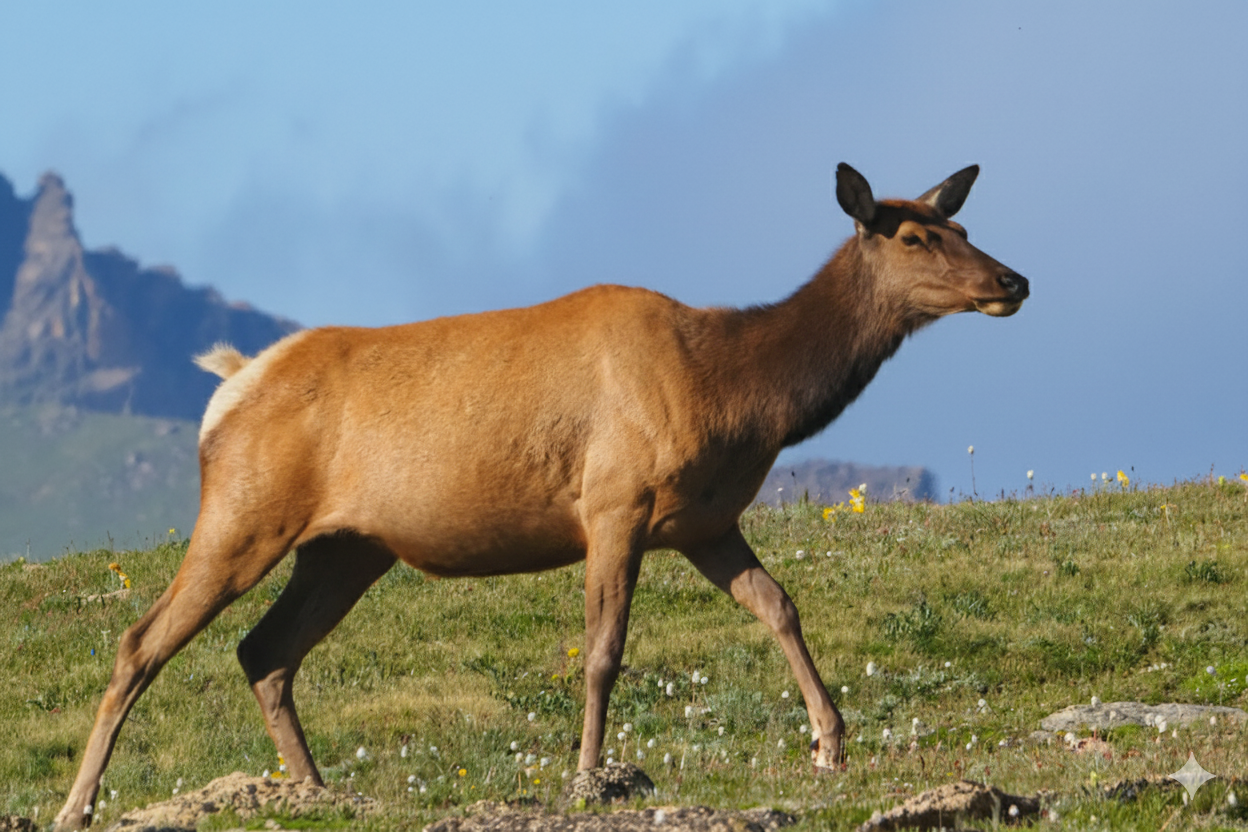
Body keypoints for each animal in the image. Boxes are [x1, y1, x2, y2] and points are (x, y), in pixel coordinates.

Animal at [54, 163, 1027, 830]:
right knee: (141, 641)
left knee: (264, 651)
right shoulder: (615, 501)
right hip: (245, 510)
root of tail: (228, 387)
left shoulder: (706, 520)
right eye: (914, 238)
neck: (737, 392)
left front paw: (830, 745)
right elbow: (602, 652)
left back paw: (318, 790)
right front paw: (590, 778)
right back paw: (80, 804)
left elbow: (778, 603)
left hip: (345, 549)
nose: (1012, 280)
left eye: (962, 220)